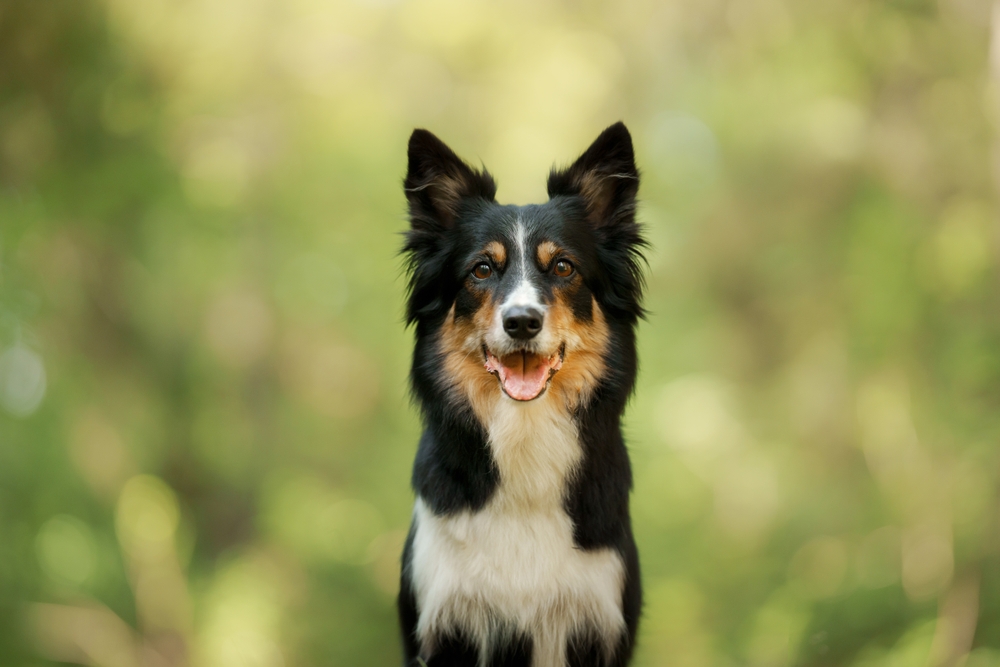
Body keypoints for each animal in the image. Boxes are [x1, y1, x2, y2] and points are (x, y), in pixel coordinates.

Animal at [398, 121, 648, 667]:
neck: (525, 431)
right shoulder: (444, 618)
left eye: (563, 268)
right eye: (481, 270)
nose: (521, 322)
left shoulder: (596, 619)